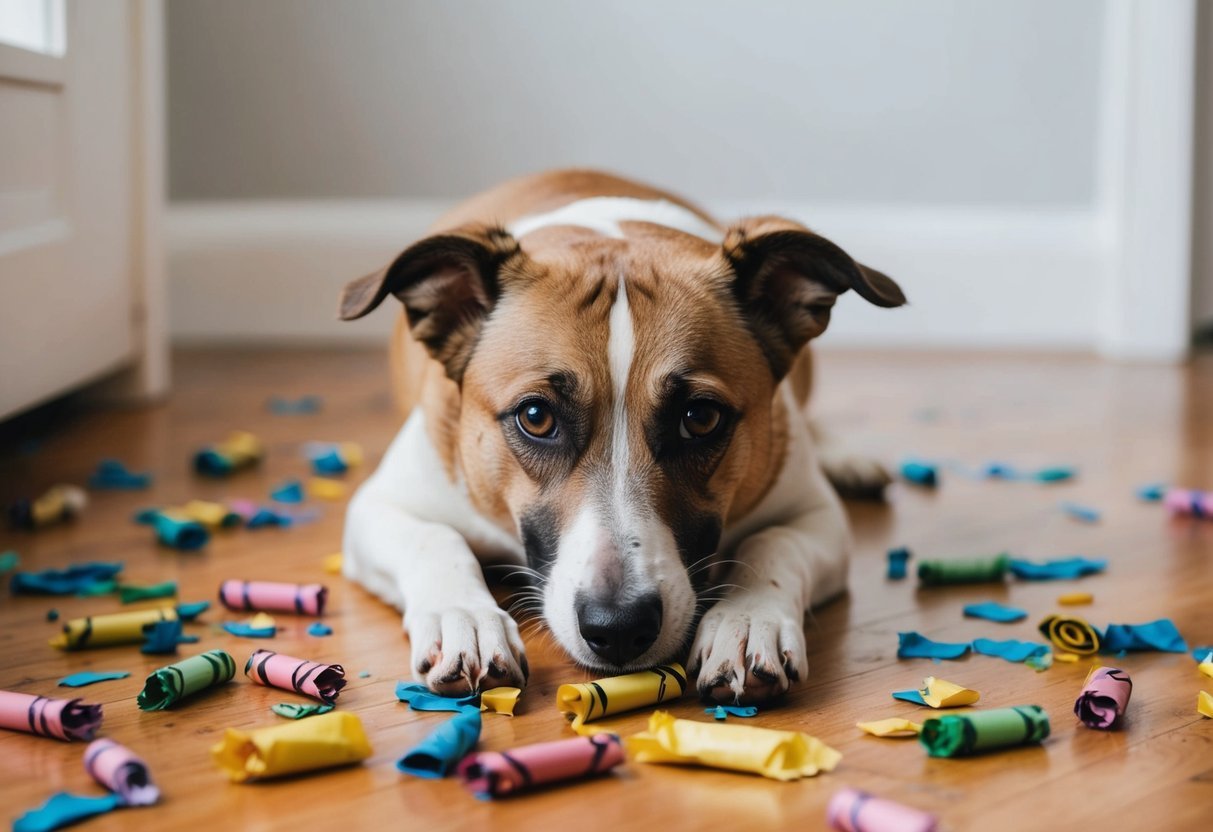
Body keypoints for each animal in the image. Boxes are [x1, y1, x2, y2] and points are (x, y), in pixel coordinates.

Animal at [337, 169, 907, 703]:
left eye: (701, 418)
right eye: (536, 416)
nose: (618, 629)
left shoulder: (815, 513)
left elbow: (774, 541)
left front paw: (747, 622)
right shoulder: (382, 505)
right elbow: (436, 538)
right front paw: (466, 618)